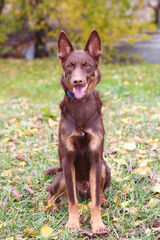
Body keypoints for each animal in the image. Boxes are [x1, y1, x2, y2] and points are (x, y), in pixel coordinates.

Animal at [45, 30, 110, 234]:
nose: (77, 81)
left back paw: (103, 199)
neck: (80, 105)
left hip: (104, 167)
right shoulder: (67, 160)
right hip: (61, 177)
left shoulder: (96, 159)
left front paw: (98, 224)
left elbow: (94, 201)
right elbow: (72, 201)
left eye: (87, 65)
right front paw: (73, 223)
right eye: (69, 66)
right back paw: (51, 206)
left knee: (98, 192)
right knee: (53, 195)